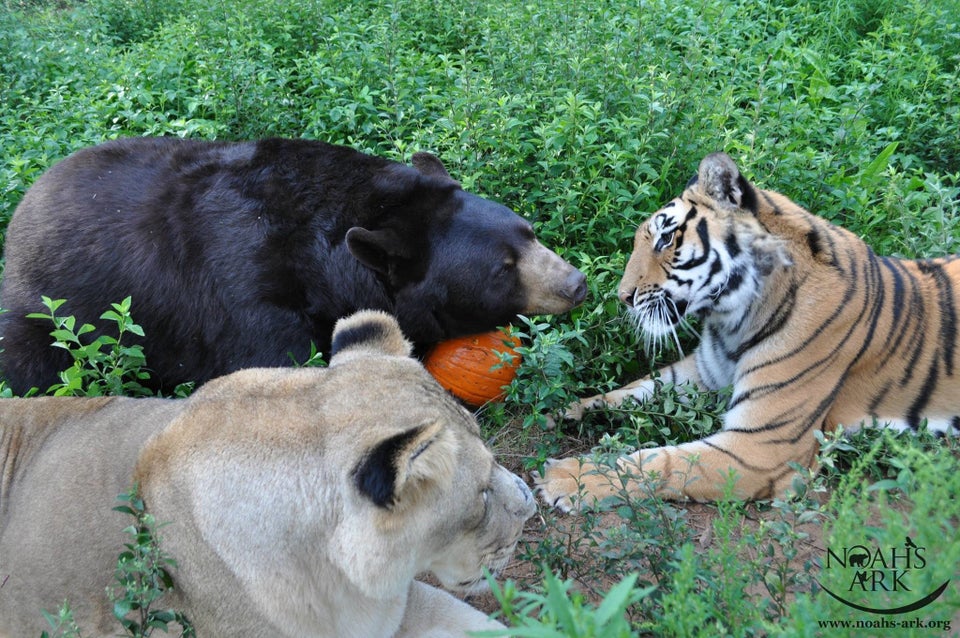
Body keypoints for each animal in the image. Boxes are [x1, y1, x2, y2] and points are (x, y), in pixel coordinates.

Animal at [0, 138, 584, 392]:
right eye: (503, 267)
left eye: (529, 232)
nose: (575, 283)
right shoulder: (246, 291)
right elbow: (274, 365)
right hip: (46, 317)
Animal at [536, 152, 956, 512]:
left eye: (666, 239)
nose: (622, 297)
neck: (731, 319)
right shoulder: (702, 373)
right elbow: (630, 390)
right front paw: (561, 409)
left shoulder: (762, 447)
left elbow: (663, 462)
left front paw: (568, 478)